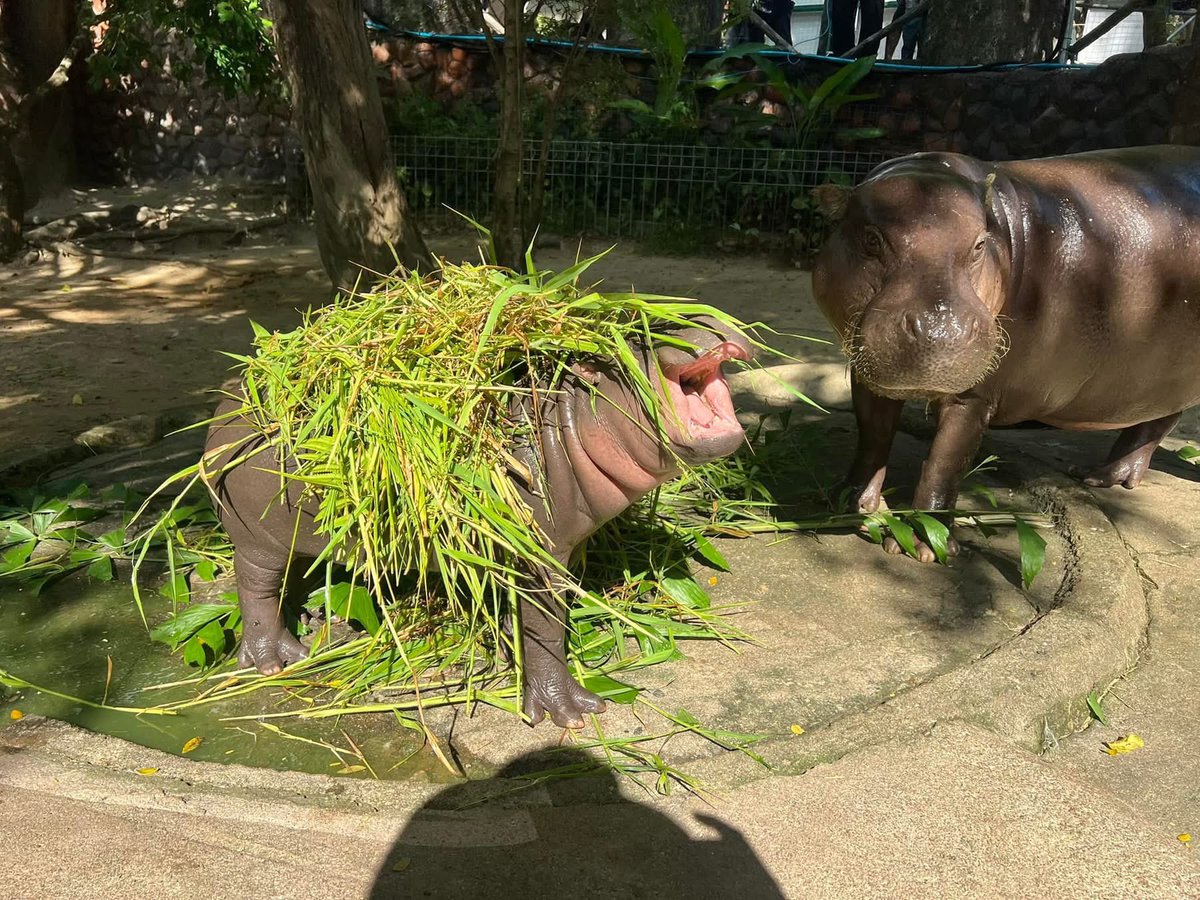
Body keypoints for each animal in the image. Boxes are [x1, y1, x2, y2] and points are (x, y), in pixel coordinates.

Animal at [203, 317, 752, 727]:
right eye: (636, 337)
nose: (704, 322)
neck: (570, 416)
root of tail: (226, 400)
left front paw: (513, 654)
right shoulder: (538, 556)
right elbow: (545, 626)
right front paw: (570, 712)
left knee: (289, 579)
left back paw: (314, 624)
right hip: (253, 538)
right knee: (256, 590)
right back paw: (278, 661)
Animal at [812, 146, 1200, 561]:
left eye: (980, 244)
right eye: (871, 238)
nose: (938, 329)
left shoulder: (974, 396)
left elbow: (943, 463)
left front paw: (926, 544)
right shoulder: (868, 374)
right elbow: (873, 435)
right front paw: (844, 503)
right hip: (1163, 377)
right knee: (1156, 420)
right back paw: (1103, 477)